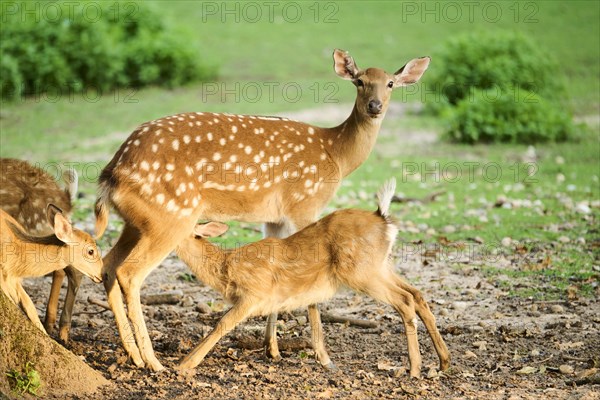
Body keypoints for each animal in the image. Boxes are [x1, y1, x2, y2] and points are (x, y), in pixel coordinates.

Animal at [96, 48, 428, 370]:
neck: (335, 154)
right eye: (359, 81)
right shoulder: (303, 202)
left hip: (137, 221)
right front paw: (323, 356)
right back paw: (153, 361)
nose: (375, 105)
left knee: (108, 264)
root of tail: (111, 172)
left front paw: (273, 348)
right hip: (171, 215)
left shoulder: (275, 218)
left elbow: (279, 261)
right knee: (130, 273)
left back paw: (134, 355)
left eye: (390, 83)